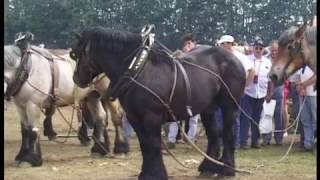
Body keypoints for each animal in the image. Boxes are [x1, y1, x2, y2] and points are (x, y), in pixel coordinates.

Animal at [70, 26, 245, 179]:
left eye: (77, 54)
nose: (76, 78)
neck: (138, 69)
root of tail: (234, 58)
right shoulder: (134, 117)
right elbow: (145, 145)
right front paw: (146, 173)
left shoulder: (151, 116)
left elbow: (153, 145)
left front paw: (156, 174)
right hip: (208, 108)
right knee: (214, 134)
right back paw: (208, 167)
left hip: (230, 105)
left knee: (228, 133)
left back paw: (227, 169)